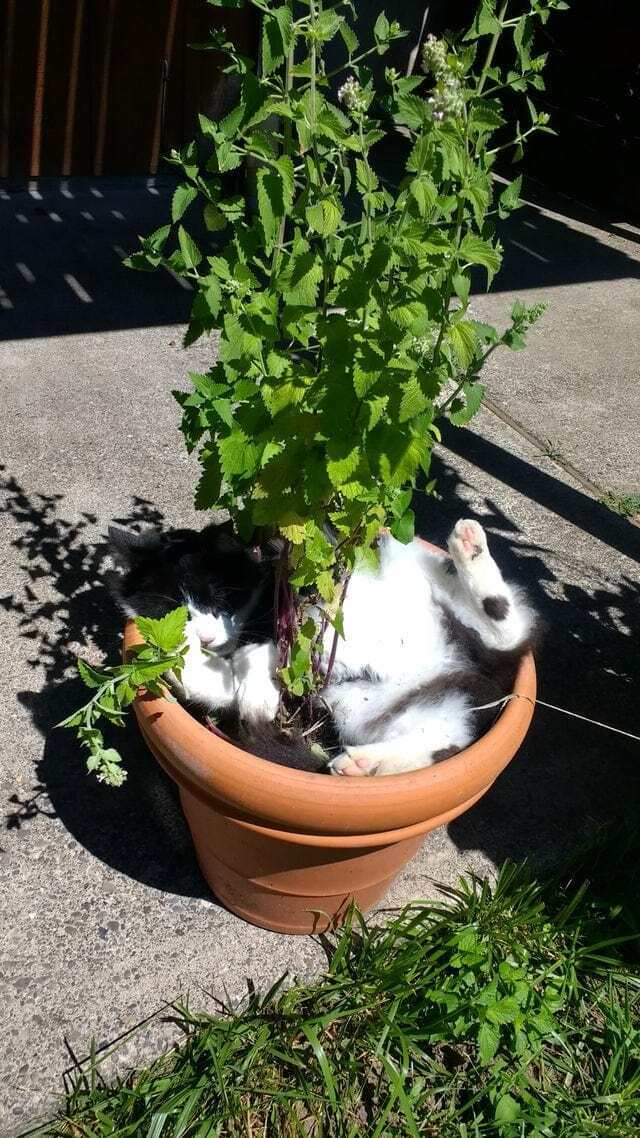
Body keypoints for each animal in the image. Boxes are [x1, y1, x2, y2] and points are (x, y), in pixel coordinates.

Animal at [108, 521, 532, 778]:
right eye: (173, 612)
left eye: (218, 597)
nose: (207, 639)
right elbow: (223, 685)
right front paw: (176, 662)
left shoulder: (296, 607)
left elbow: (263, 651)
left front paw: (256, 697)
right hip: (361, 704)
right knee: (443, 745)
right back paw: (363, 764)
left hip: (422, 574)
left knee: (506, 630)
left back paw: (470, 547)